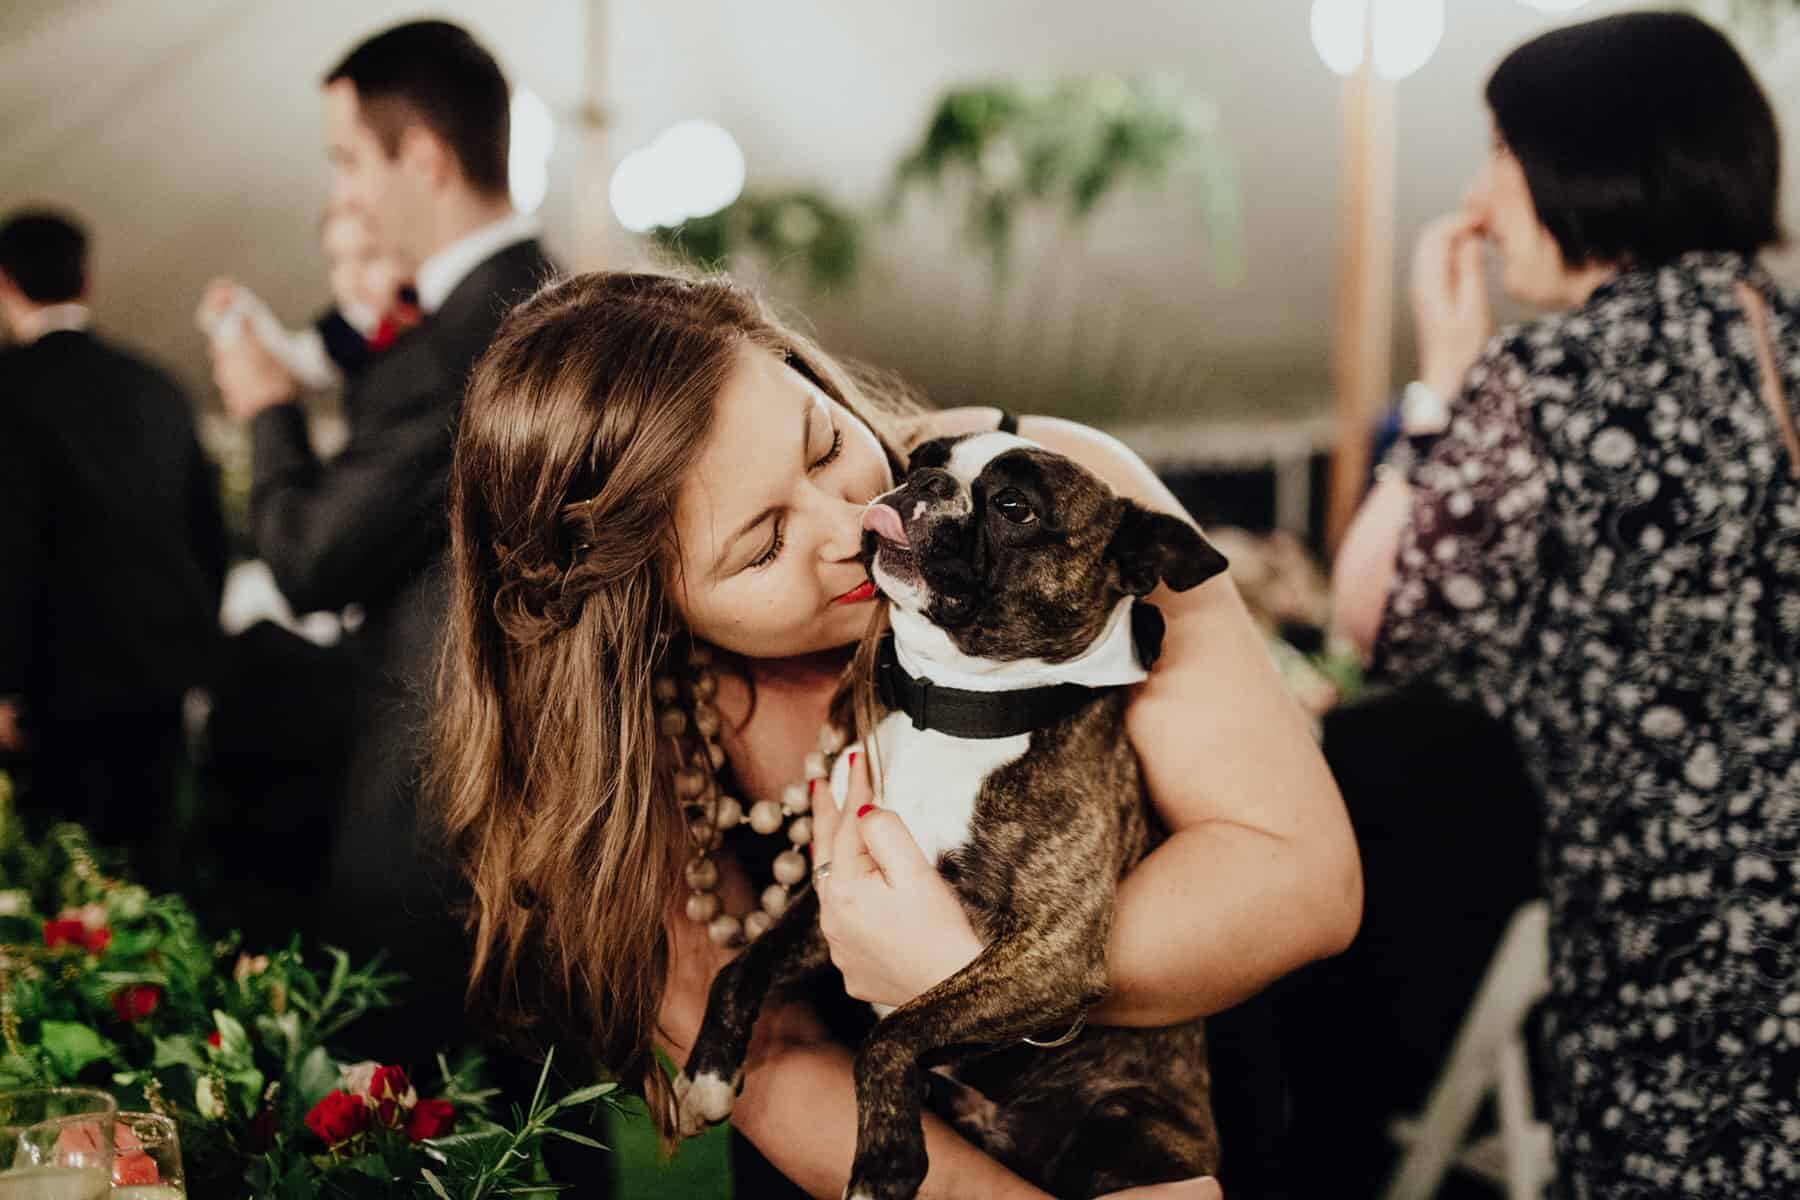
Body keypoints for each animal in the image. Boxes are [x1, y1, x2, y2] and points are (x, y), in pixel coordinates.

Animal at [676, 433, 1224, 1200]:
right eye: (918, 462)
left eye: (1015, 507)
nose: (925, 483)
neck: (957, 709)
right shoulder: (832, 904)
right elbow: (743, 965)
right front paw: (707, 1074)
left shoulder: (1051, 954)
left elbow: (894, 1034)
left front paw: (883, 1164)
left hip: (1129, 1132)